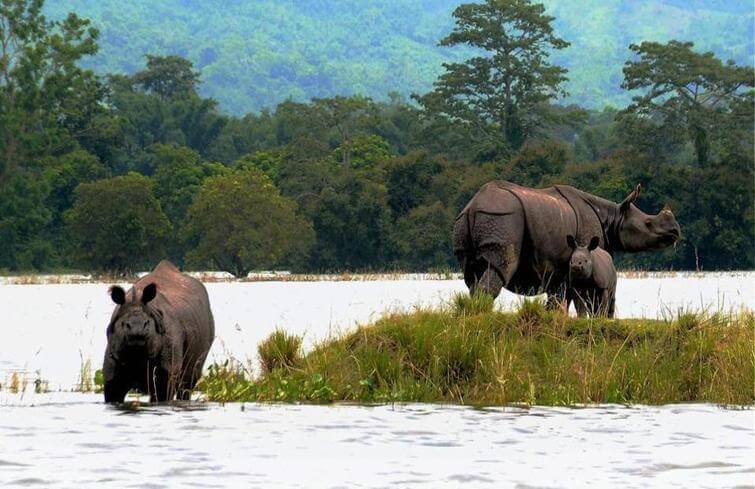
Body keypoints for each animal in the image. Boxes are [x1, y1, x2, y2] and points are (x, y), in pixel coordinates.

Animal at [103, 262, 216, 402]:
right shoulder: (112, 371)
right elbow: (113, 393)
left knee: (187, 383)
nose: (137, 332)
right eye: (124, 324)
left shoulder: (167, 373)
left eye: (147, 323)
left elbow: (162, 393)